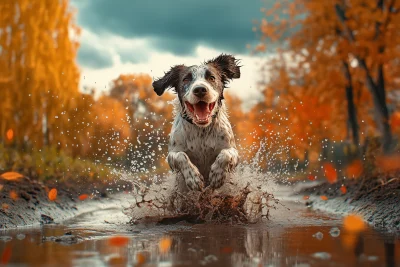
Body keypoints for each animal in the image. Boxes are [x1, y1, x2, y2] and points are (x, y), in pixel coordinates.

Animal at [152, 54, 241, 192]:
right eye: (186, 79)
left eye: (211, 77)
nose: (200, 89)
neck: (201, 130)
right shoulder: (172, 154)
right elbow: (181, 156)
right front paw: (193, 178)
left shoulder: (232, 151)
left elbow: (226, 154)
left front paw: (217, 175)